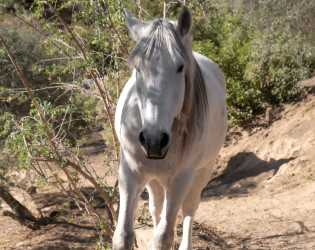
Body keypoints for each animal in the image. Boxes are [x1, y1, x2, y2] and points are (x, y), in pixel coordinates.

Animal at [113, 5, 227, 250]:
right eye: (137, 68)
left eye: (180, 67)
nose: (153, 140)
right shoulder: (129, 174)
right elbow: (124, 235)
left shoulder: (181, 181)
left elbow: (164, 236)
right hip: (154, 179)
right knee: (157, 209)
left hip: (201, 173)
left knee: (189, 210)